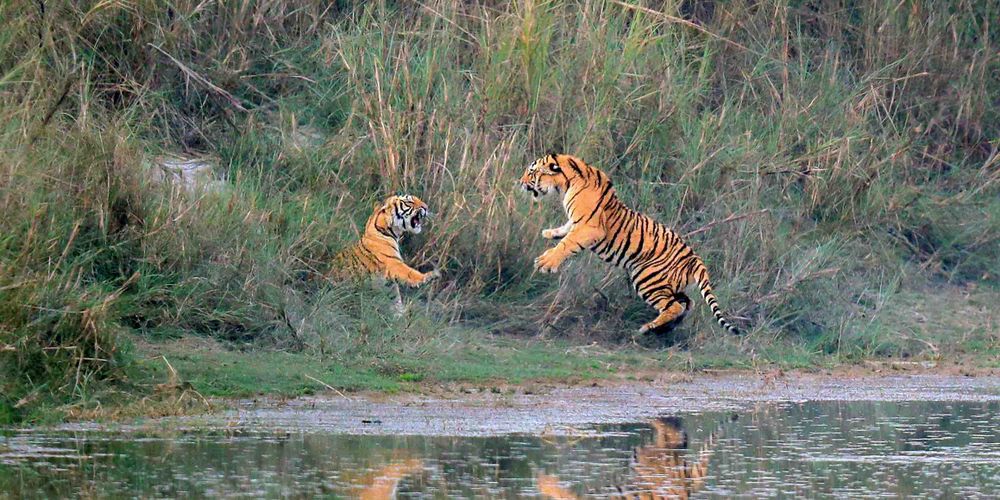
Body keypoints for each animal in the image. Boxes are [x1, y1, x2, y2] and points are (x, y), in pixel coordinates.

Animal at [519, 154, 739, 335]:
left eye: (531, 171)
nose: (520, 183)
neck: (568, 182)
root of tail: (695, 259)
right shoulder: (576, 223)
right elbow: (565, 231)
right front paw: (549, 233)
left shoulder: (590, 228)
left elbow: (567, 243)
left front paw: (545, 263)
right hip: (670, 285)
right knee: (687, 303)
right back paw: (668, 327)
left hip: (647, 278)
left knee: (674, 306)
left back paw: (648, 329)